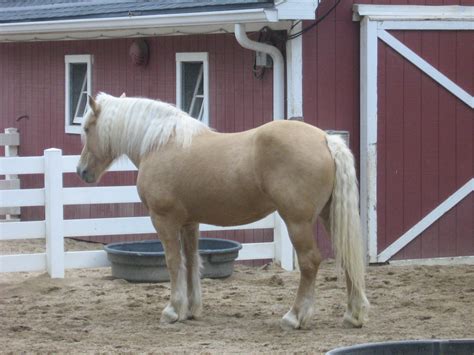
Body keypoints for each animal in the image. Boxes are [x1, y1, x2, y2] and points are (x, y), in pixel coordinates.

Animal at [78, 92, 368, 330]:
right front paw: (191, 310)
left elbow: (173, 262)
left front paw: (173, 310)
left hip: (297, 222)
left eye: (86, 128)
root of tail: (325, 139)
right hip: (329, 217)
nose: (82, 171)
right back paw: (353, 314)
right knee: (346, 256)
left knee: (309, 262)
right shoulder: (189, 223)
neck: (161, 144)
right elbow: (191, 260)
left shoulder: (164, 220)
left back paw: (294, 316)